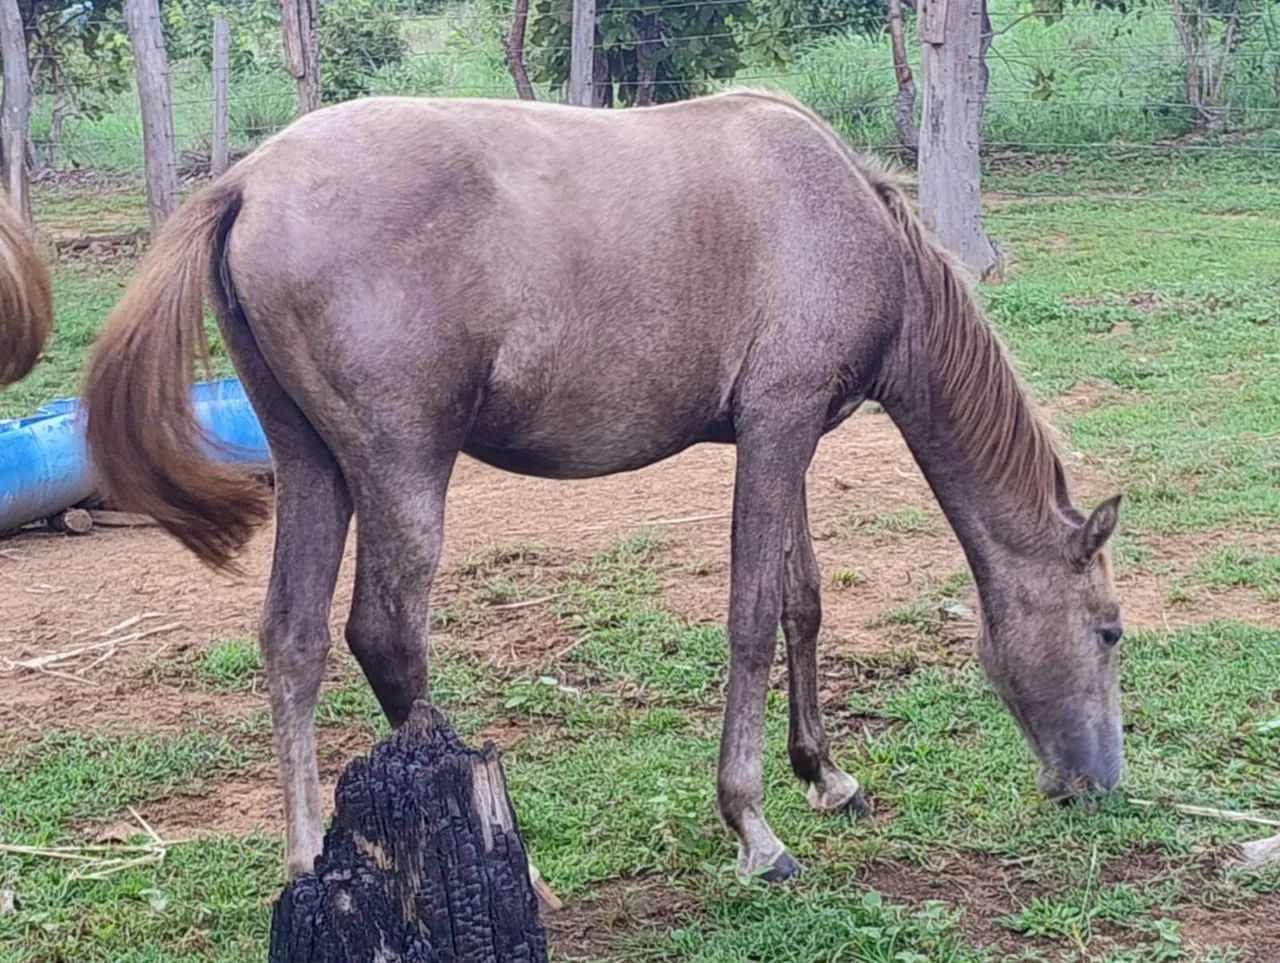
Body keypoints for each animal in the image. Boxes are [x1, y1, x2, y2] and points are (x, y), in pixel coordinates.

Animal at [81, 90, 1125, 883]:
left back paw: (305, 863)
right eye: (1112, 631)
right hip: (401, 468)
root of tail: (247, 180)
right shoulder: (777, 427)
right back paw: (520, 865)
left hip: (312, 467)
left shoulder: (786, 435)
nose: (1100, 780)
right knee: (386, 638)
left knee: (292, 641)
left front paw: (825, 775)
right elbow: (752, 619)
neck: (846, 220)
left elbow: (802, 601)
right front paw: (754, 827)